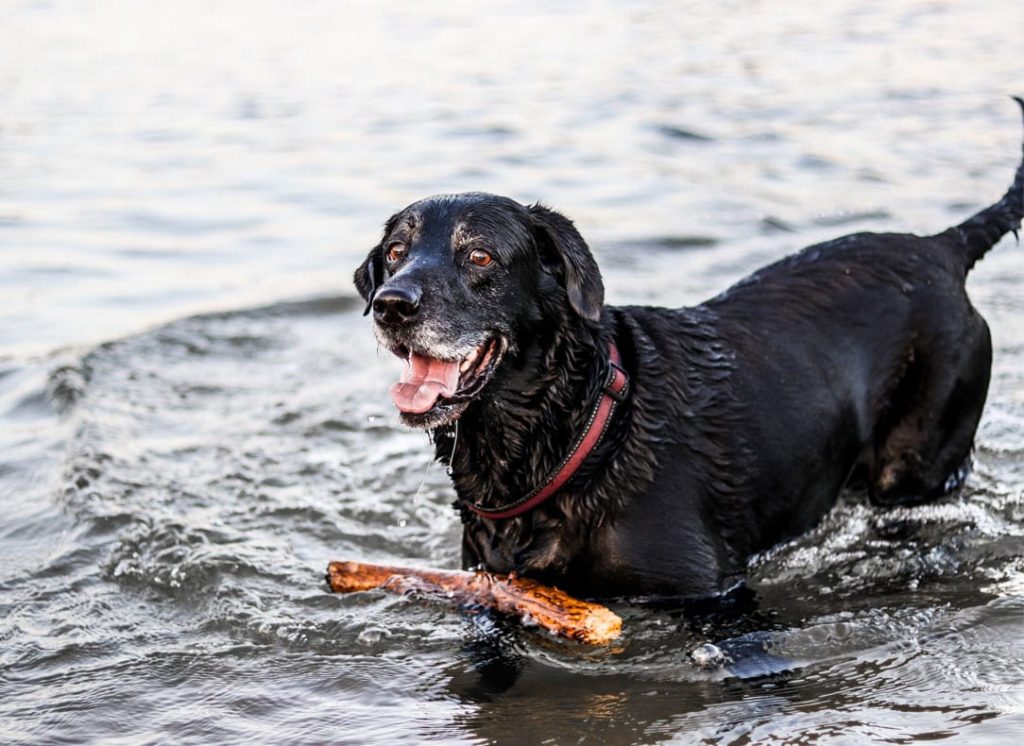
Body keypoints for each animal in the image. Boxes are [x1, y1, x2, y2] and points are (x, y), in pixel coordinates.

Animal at [354, 100, 1024, 597]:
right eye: (395, 252)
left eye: (480, 256)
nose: (391, 305)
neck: (576, 430)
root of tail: (942, 247)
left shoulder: (713, 592)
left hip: (918, 461)